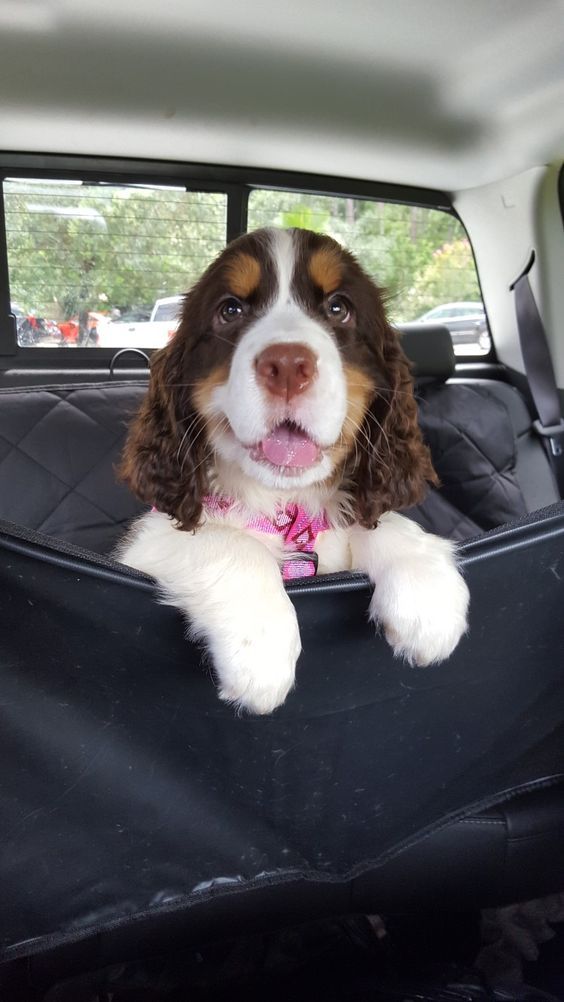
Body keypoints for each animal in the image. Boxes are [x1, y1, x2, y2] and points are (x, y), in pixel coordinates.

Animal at [117, 227, 470, 713]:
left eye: (339, 308)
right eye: (230, 310)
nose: (286, 365)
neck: (287, 509)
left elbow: (376, 522)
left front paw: (426, 589)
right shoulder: (144, 546)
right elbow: (228, 542)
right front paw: (260, 645)